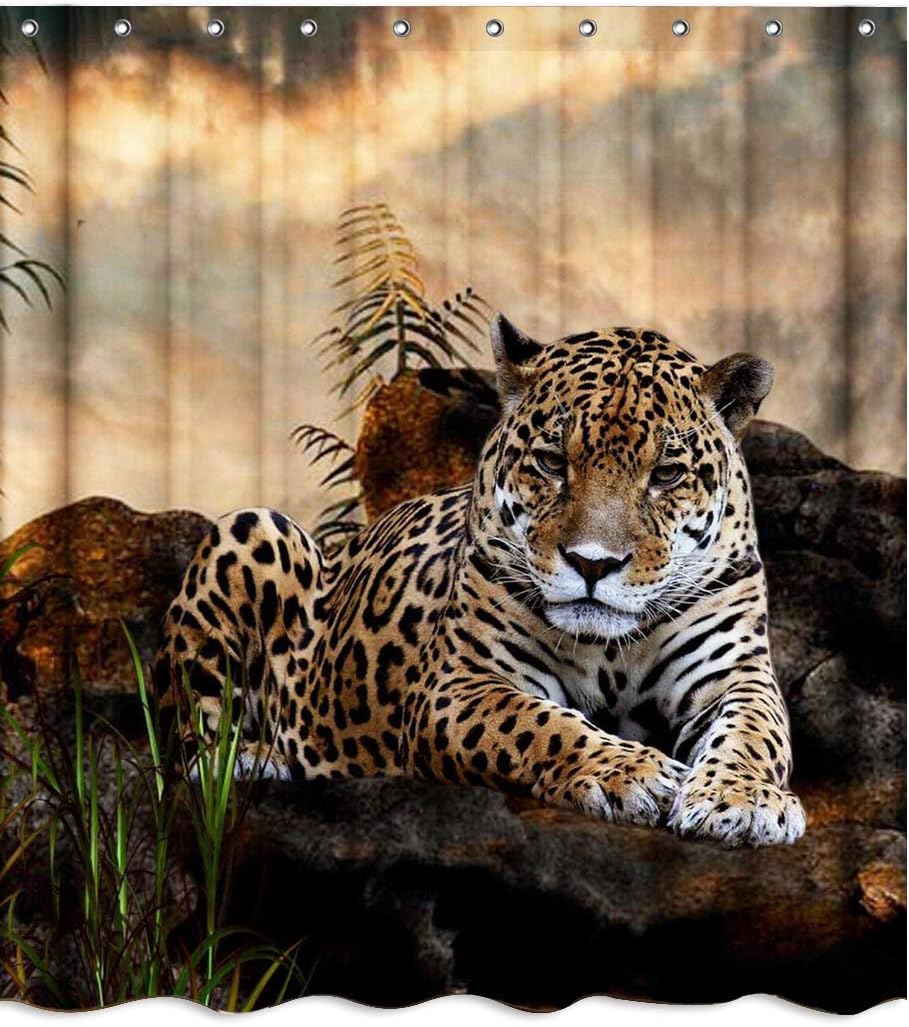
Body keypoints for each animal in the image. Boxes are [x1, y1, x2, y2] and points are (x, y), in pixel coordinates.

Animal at [153, 314, 806, 848]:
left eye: (667, 474)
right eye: (552, 461)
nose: (593, 564)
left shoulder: (734, 673)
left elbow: (755, 733)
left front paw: (744, 802)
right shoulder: (461, 685)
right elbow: (541, 726)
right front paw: (635, 773)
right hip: (251, 528)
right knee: (189, 743)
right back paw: (254, 761)